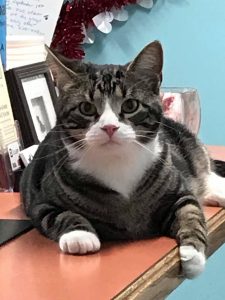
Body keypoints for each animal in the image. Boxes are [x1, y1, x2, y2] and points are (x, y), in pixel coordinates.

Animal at [19, 40, 225, 278]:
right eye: (86, 107)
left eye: (130, 105)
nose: (109, 127)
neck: (116, 161)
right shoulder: (39, 200)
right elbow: (60, 215)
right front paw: (79, 236)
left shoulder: (177, 191)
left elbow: (190, 211)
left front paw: (193, 255)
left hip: (186, 144)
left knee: (204, 169)